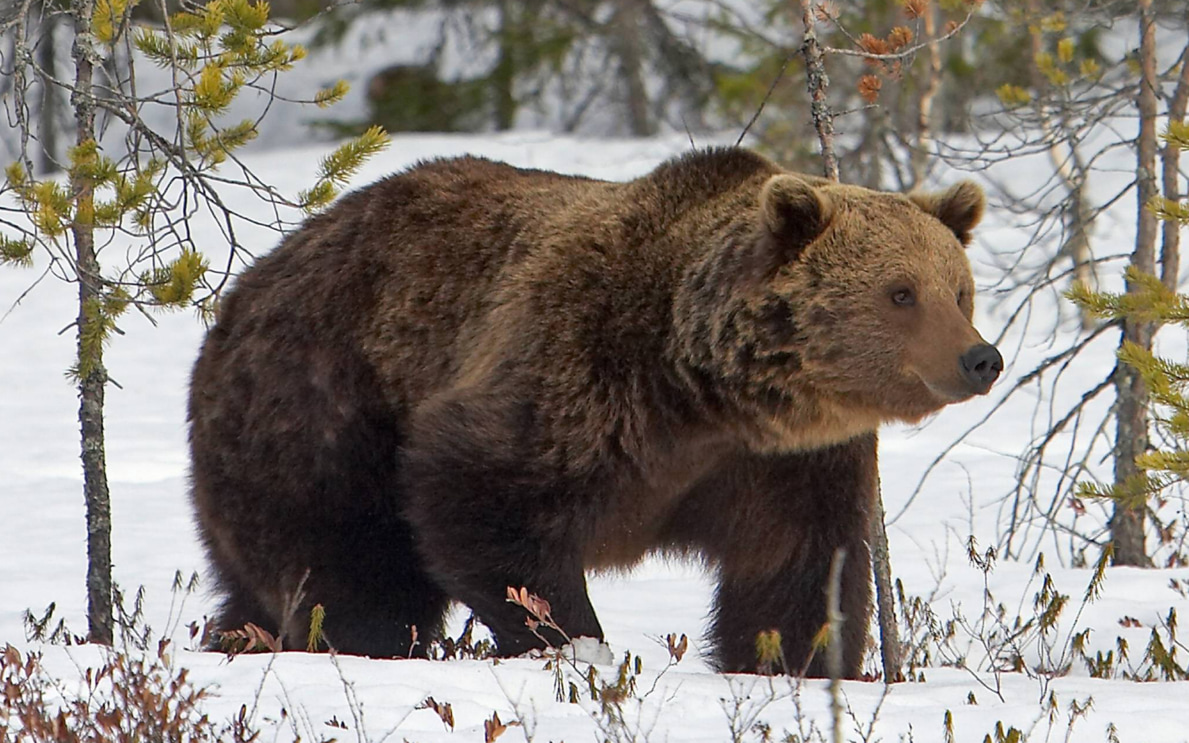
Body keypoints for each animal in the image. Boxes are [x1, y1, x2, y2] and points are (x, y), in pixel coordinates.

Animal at [187, 146, 1002, 677]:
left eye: (959, 289)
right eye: (900, 292)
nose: (980, 358)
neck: (704, 391)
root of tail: (248, 284)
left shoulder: (783, 462)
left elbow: (797, 565)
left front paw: (793, 661)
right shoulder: (579, 371)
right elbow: (482, 496)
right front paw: (575, 642)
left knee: (252, 581)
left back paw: (237, 637)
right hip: (322, 404)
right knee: (349, 564)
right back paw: (358, 640)